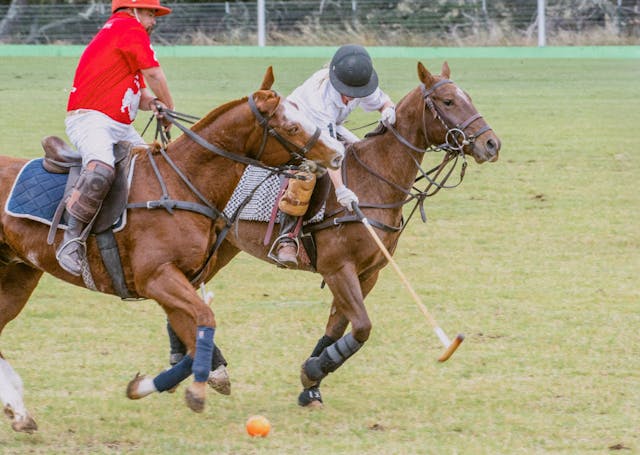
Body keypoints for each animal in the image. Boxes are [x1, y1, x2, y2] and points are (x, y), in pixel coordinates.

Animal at [0, 68, 344, 434]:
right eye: (291, 127)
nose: (337, 154)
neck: (184, 183)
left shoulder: (178, 281)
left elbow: (193, 336)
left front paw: (147, 386)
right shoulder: (157, 278)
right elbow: (204, 320)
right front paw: (196, 390)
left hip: (19, 273)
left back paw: (19, 413)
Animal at [200, 60, 500, 406]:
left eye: (468, 97)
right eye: (448, 101)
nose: (492, 144)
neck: (376, 177)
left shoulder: (368, 273)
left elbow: (337, 328)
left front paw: (311, 383)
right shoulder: (338, 268)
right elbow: (362, 326)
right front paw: (313, 372)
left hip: (224, 247)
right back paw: (210, 367)